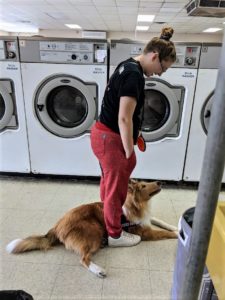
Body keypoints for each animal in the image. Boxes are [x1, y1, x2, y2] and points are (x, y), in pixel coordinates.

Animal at [5, 179, 178, 278]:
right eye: (143, 186)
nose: (160, 182)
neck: (137, 205)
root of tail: (57, 226)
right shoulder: (144, 232)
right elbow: (164, 233)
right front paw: (178, 233)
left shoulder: (146, 219)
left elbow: (161, 221)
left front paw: (175, 226)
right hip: (94, 230)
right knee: (83, 259)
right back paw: (98, 270)